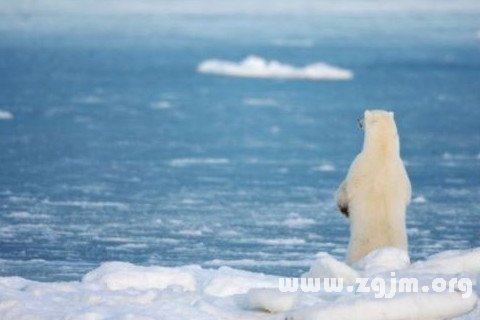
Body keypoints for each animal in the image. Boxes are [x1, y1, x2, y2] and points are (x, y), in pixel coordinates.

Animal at [336, 110, 410, 264]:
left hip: (355, 250)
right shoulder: (403, 174)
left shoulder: (358, 165)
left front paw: (343, 208)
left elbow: (345, 190)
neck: (382, 152)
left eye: (364, 115)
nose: (358, 120)